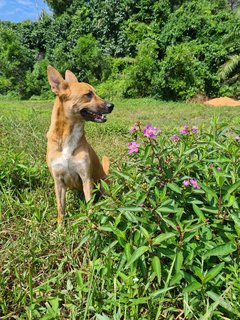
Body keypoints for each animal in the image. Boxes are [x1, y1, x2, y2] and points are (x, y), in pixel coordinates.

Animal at [47, 65, 115, 222]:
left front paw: (92, 225)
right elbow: (60, 209)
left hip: (103, 184)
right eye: (88, 94)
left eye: (95, 92)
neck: (68, 136)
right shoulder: (58, 182)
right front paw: (60, 227)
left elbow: (90, 206)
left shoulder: (86, 178)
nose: (111, 105)